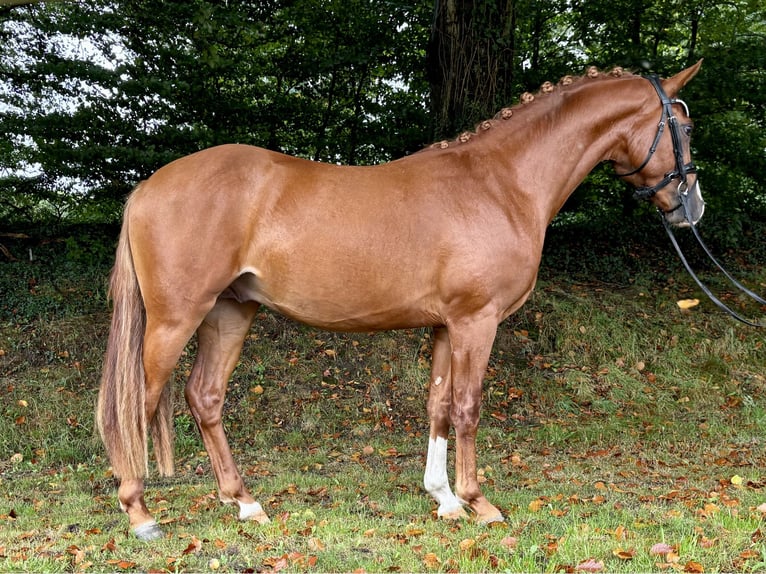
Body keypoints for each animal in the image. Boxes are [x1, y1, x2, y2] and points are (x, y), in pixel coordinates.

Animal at [97, 60, 708, 544]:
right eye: (683, 126)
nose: (692, 207)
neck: (500, 184)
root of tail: (147, 187)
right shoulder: (476, 322)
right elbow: (467, 408)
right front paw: (479, 502)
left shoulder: (445, 326)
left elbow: (438, 406)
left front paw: (445, 499)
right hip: (176, 319)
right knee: (137, 403)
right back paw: (140, 513)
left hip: (229, 313)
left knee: (204, 397)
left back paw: (243, 502)